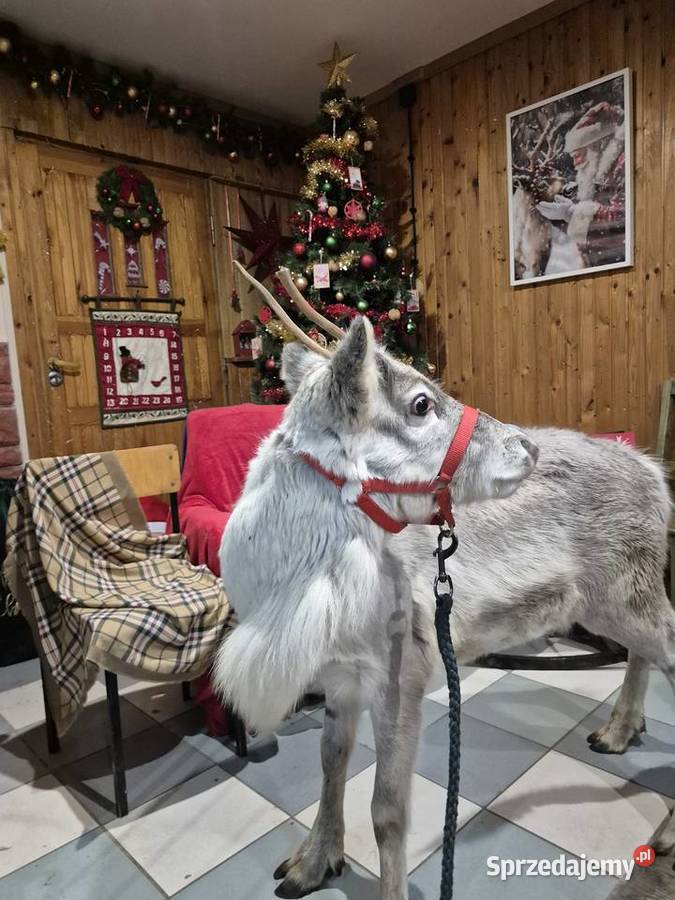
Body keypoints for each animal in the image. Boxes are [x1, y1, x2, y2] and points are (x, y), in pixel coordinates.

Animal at [214, 264, 674, 900]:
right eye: (420, 403)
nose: (526, 445)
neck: (291, 591)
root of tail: (655, 473)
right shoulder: (339, 676)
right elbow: (331, 761)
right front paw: (312, 862)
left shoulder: (401, 668)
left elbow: (387, 810)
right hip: (617, 599)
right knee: (641, 652)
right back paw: (619, 731)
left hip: (629, 592)